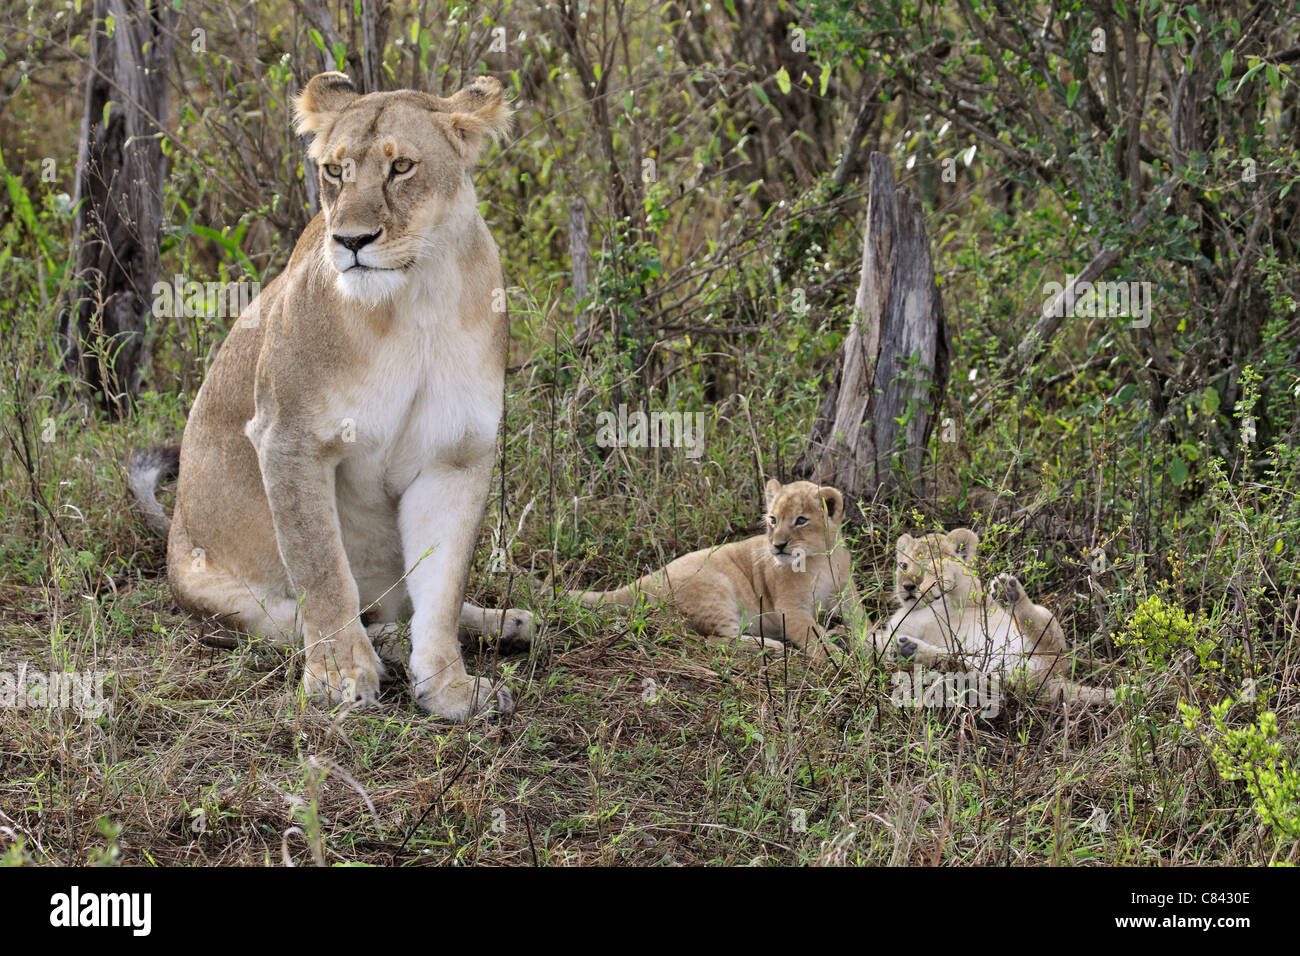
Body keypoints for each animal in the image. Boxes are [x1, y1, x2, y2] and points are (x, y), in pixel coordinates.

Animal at [127, 73, 532, 721]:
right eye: (334, 171)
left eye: (401, 167)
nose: (351, 239)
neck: (413, 302)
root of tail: (173, 533)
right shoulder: (288, 437)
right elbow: (321, 570)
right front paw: (342, 676)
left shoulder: (455, 454)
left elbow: (442, 587)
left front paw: (450, 688)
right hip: (220, 593)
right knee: (297, 619)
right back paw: (381, 642)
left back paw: (505, 623)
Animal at [570, 480, 865, 658]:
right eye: (773, 520)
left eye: (801, 520)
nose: (778, 545)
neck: (820, 559)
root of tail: (654, 576)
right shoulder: (789, 608)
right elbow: (813, 636)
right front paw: (840, 661)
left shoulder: (846, 592)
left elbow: (861, 619)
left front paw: (868, 642)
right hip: (718, 590)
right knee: (717, 640)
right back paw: (773, 646)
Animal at [874, 528, 1114, 706]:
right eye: (903, 565)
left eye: (925, 564)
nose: (908, 587)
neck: (916, 609)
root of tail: (1051, 678)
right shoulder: (886, 634)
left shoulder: (971, 598)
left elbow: (957, 572)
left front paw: (937, 577)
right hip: (983, 673)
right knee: (958, 665)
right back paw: (908, 651)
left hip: (1048, 624)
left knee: (1043, 634)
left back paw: (1009, 594)